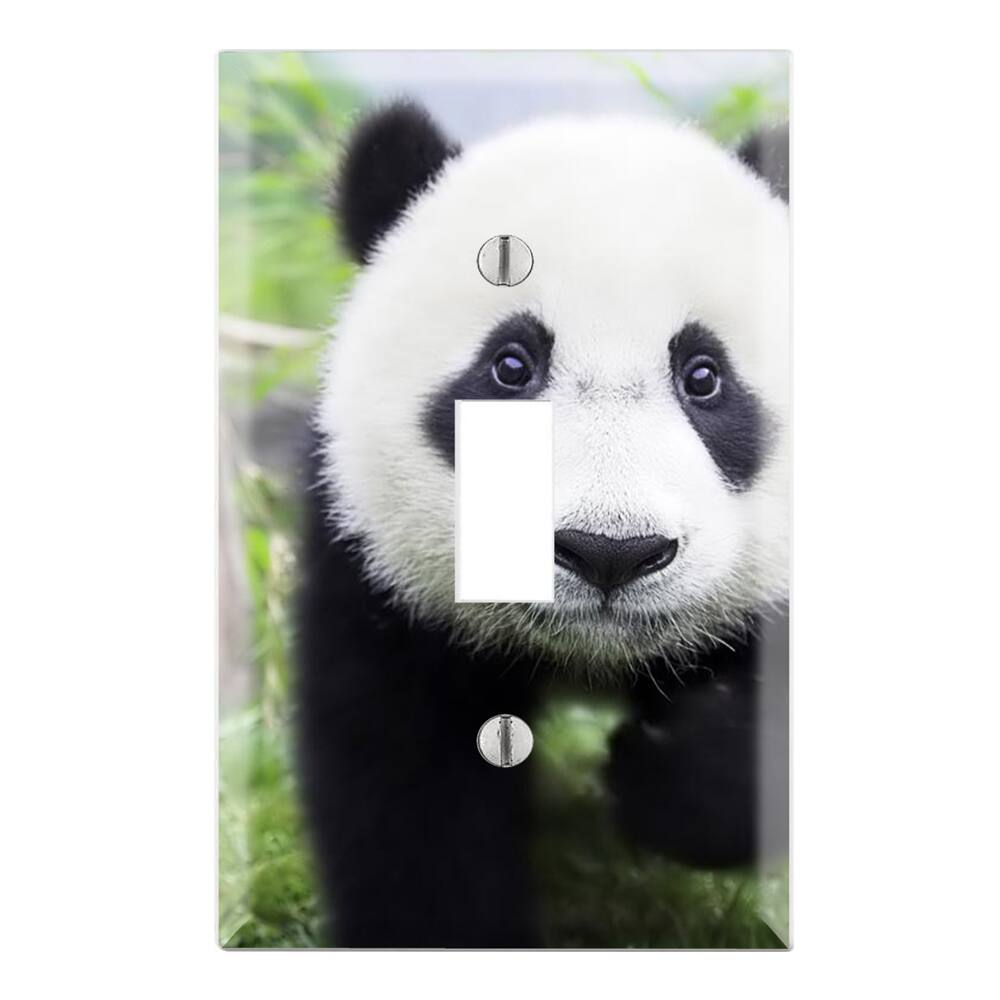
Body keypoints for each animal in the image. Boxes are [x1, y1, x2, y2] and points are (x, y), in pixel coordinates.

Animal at [295, 101, 789, 948]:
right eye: (510, 367)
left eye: (704, 377)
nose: (609, 553)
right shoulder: (374, 568)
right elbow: (406, 794)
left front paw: (672, 771)